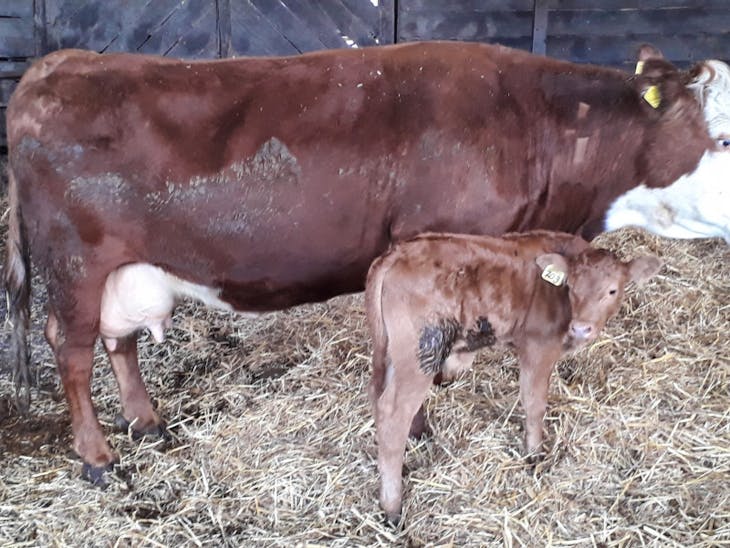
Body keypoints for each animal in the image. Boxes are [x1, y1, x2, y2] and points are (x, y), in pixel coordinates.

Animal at [3, 41, 722, 483]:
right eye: (722, 138)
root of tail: (52, 66)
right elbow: (423, 357)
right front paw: (422, 430)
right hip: (76, 263)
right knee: (70, 348)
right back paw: (98, 457)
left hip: (123, 270)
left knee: (117, 340)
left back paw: (146, 423)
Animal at [364, 231, 662, 523]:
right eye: (571, 287)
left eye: (612, 290)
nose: (581, 328)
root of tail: (396, 253)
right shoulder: (538, 347)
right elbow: (534, 403)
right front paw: (534, 454)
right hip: (422, 351)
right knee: (393, 415)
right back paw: (392, 508)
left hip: (395, 353)